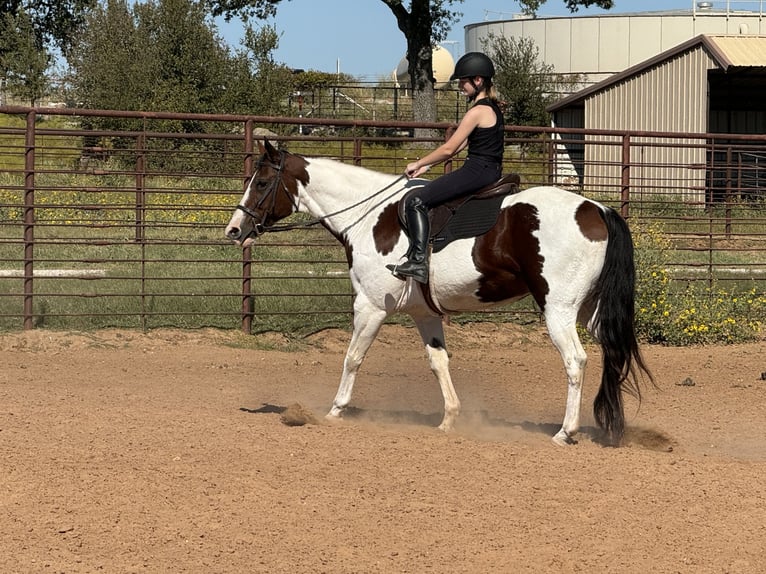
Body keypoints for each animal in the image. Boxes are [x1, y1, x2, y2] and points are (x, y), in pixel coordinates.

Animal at [225, 142, 652, 448]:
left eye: (260, 183)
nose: (234, 229)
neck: (371, 217)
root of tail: (598, 209)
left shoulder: (369, 307)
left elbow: (353, 357)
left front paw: (334, 411)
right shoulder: (424, 314)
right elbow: (438, 363)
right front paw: (449, 418)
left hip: (559, 311)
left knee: (576, 362)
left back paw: (566, 432)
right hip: (590, 312)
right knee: (612, 356)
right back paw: (610, 429)